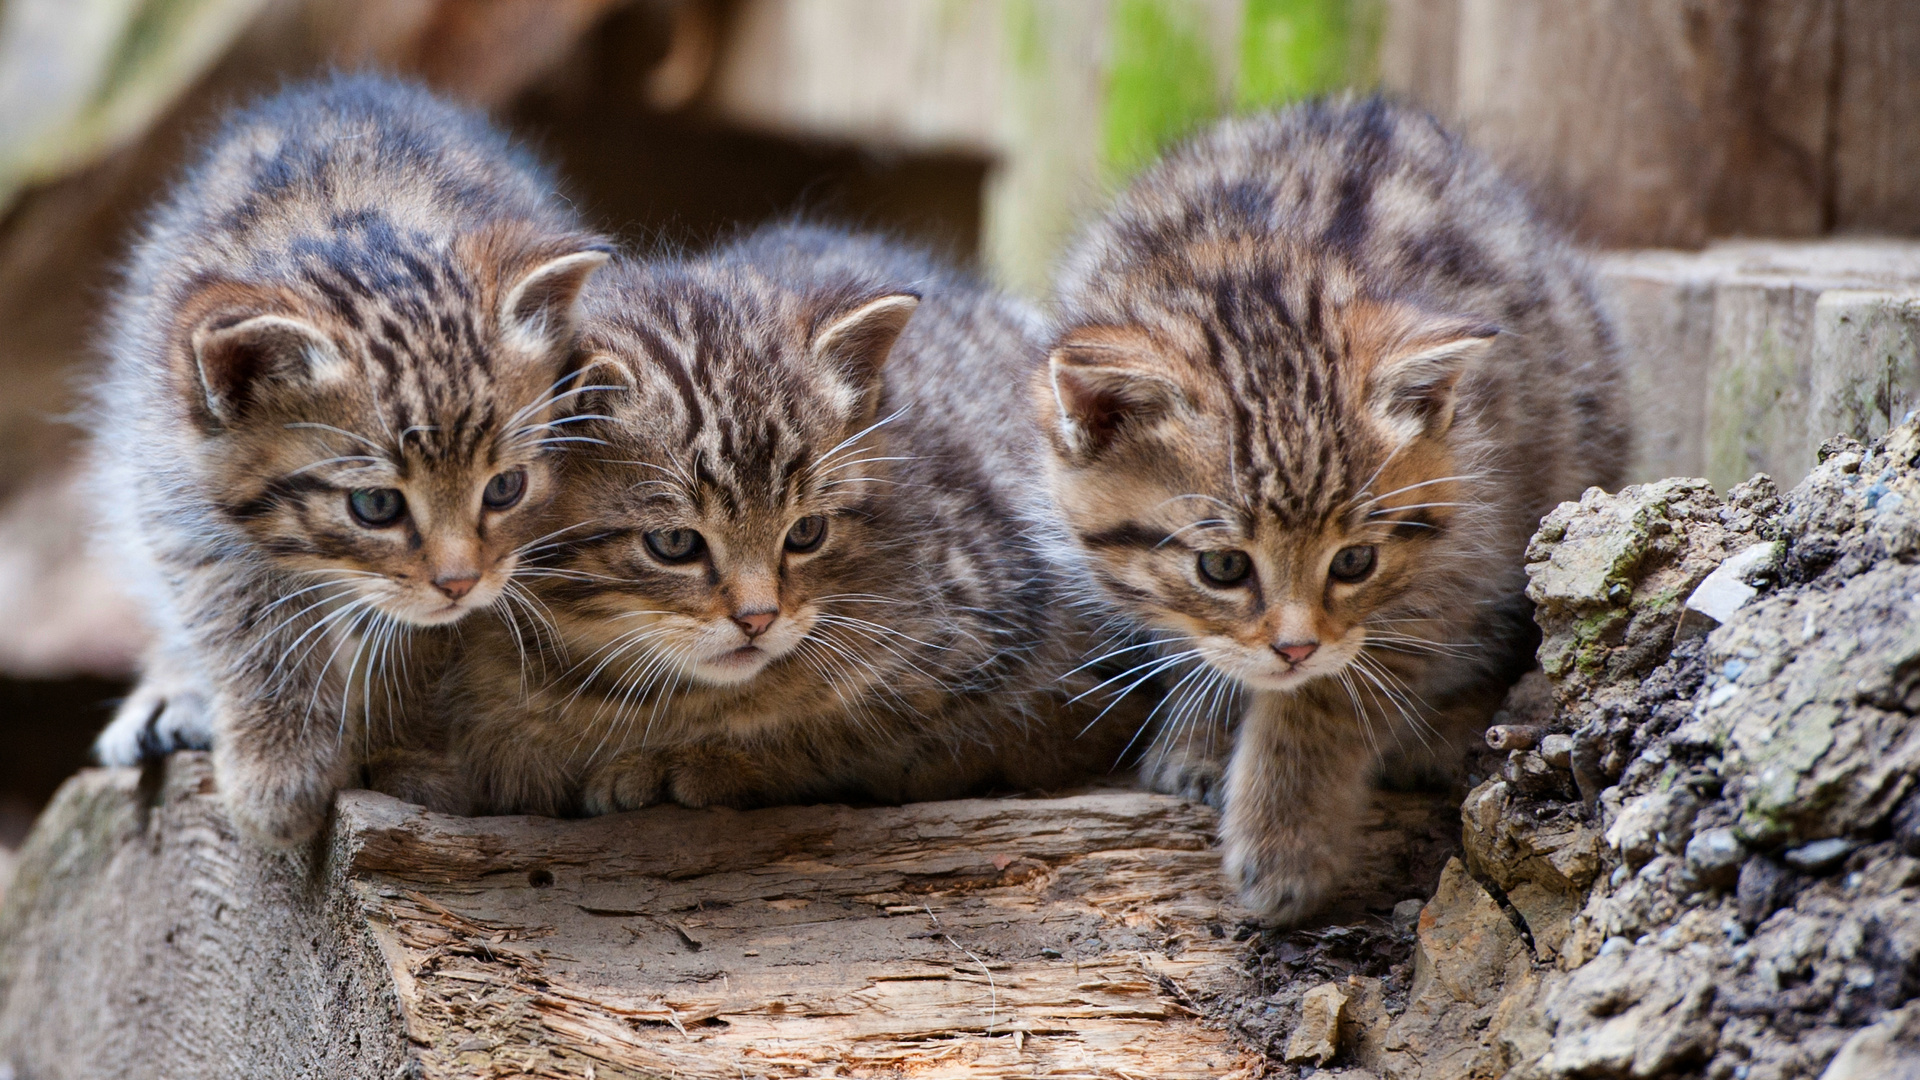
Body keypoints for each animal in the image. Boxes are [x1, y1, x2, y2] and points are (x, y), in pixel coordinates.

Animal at [91, 75, 606, 845]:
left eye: (505, 489)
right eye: (376, 505)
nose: (459, 582)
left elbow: (423, 646)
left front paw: (405, 751)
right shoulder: (178, 494)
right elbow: (246, 623)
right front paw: (278, 767)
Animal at [435, 226, 1128, 814]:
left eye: (805, 533)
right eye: (673, 542)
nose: (757, 619)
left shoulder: (1006, 609)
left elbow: (858, 730)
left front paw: (704, 762)